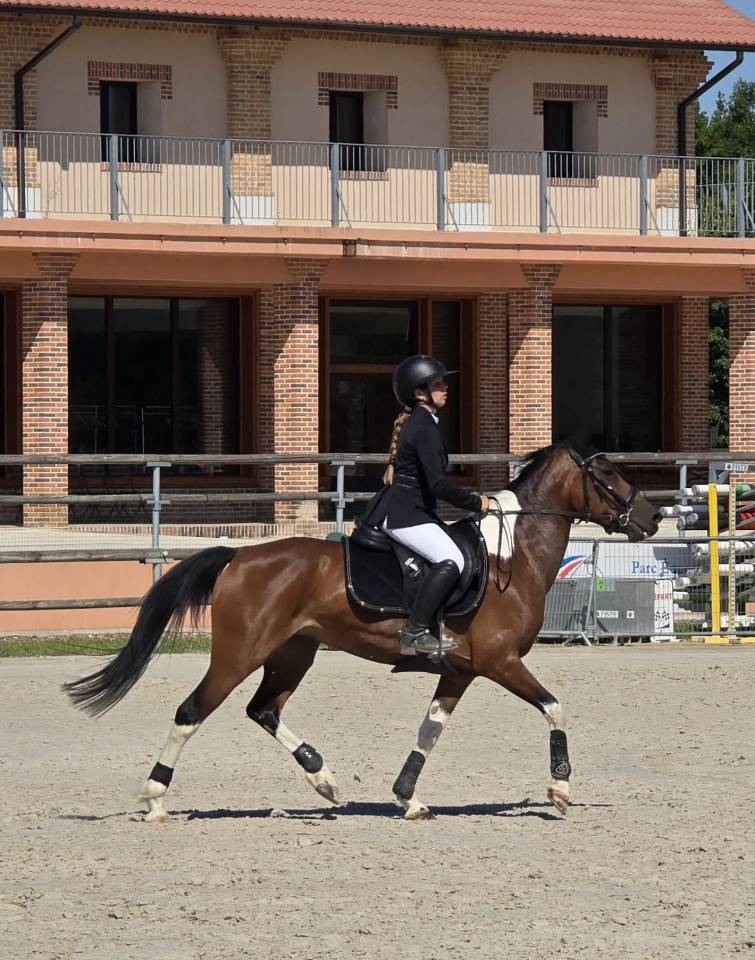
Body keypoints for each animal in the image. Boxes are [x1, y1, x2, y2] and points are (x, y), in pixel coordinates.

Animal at [64, 444, 660, 822]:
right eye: (609, 474)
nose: (652, 520)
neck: (511, 555)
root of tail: (238, 556)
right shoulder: (500, 663)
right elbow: (556, 708)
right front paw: (559, 787)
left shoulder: (461, 671)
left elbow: (429, 731)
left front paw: (408, 799)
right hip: (238, 655)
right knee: (192, 712)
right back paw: (156, 800)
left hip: (293, 654)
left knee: (264, 709)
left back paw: (323, 778)